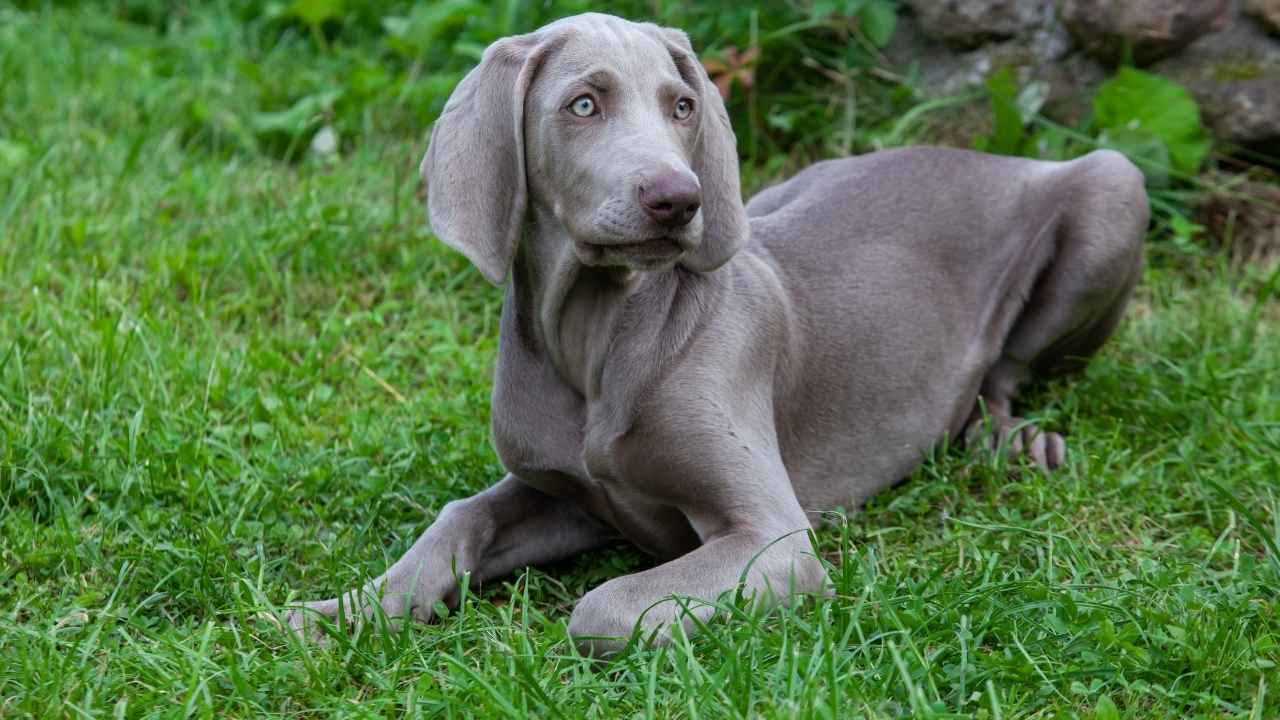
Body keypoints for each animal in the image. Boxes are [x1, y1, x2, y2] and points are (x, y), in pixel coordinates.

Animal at [288, 11, 1152, 655]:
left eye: (682, 105)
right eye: (583, 104)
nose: (678, 199)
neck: (599, 336)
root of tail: (985, 155)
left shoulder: (774, 541)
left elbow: (602, 610)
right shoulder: (566, 493)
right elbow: (459, 517)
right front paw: (345, 611)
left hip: (1115, 183)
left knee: (1002, 375)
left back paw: (1016, 442)